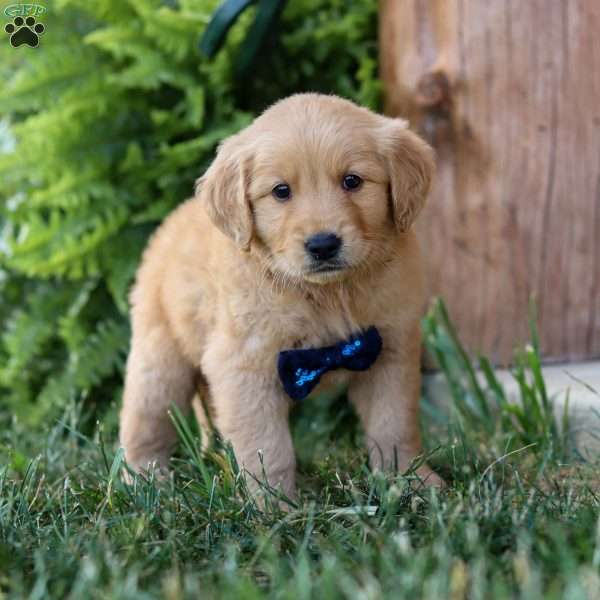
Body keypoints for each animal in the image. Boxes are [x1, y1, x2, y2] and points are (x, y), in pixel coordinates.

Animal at [119, 92, 442, 496]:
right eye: (281, 191)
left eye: (352, 181)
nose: (323, 245)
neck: (327, 294)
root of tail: (168, 225)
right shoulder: (244, 366)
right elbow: (268, 450)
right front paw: (274, 506)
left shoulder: (390, 351)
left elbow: (394, 425)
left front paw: (411, 482)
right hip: (160, 361)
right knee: (143, 424)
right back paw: (145, 482)